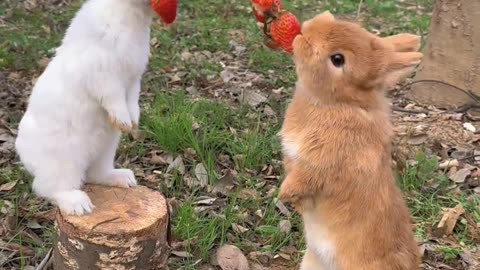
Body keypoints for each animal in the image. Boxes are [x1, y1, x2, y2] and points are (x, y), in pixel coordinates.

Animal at [14, 0, 158, 215]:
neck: (128, 14)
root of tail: (25, 155)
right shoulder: (104, 76)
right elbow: (114, 98)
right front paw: (123, 120)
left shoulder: (133, 80)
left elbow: (132, 100)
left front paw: (133, 122)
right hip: (64, 162)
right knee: (48, 188)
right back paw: (78, 204)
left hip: (105, 149)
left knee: (95, 175)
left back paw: (123, 178)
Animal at [278, 11, 424, 270]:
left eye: (338, 59)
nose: (309, 28)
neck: (339, 103)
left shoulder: (321, 164)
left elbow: (303, 180)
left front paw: (281, 194)